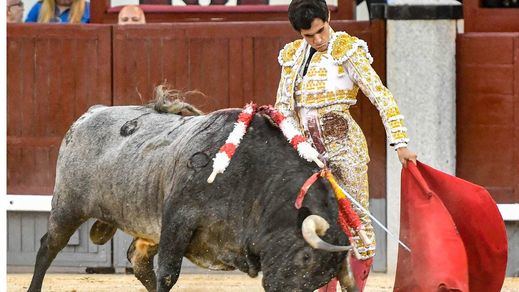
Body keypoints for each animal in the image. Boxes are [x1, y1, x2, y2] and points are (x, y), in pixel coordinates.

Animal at [28, 105, 358, 292]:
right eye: (305, 258)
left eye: (322, 281)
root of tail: (88, 114)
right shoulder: (178, 221)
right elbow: (168, 274)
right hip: (67, 207)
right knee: (47, 248)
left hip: (149, 226)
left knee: (137, 259)